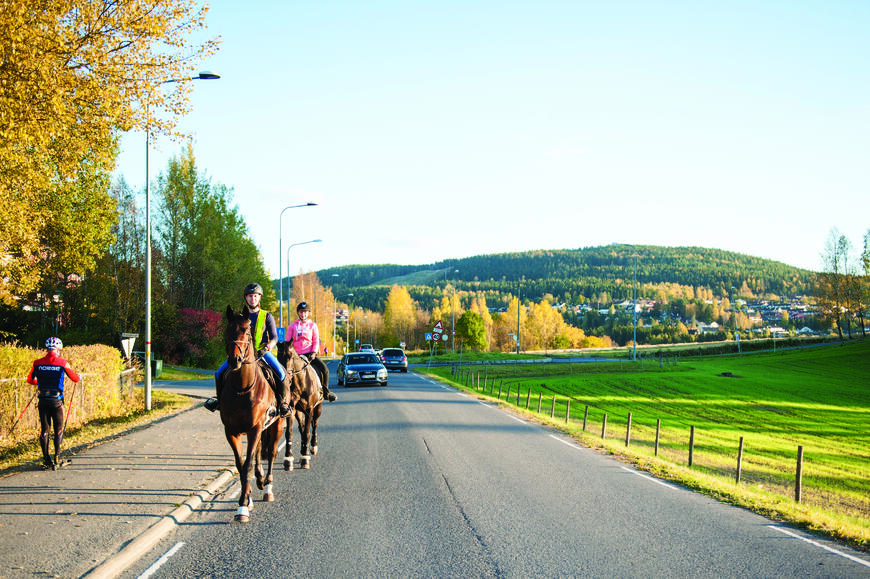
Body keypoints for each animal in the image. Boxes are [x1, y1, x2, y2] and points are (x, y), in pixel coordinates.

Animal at [221, 306, 286, 524]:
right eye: (227, 331)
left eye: (246, 332)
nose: (235, 360)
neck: (242, 388)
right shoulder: (232, 432)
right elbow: (241, 465)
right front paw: (246, 499)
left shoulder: (255, 428)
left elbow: (248, 464)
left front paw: (242, 506)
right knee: (258, 451)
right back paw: (259, 481)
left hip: (276, 424)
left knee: (272, 453)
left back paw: (267, 488)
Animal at [278, 344, 326, 472]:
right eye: (278, 356)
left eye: (290, 356)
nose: (285, 376)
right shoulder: (291, 410)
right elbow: (289, 433)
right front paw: (288, 459)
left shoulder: (309, 410)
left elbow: (307, 432)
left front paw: (305, 458)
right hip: (299, 412)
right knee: (302, 427)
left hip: (318, 408)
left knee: (314, 425)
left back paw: (313, 447)